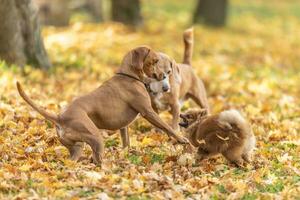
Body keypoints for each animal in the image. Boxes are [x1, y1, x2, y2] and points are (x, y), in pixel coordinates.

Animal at [17, 46, 189, 166]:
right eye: (155, 61)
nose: (164, 75)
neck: (129, 76)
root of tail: (60, 117)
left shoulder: (124, 127)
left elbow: (126, 142)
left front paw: (127, 154)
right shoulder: (148, 112)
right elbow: (168, 127)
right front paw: (181, 139)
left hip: (77, 146)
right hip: (96, 137)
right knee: (98, 160)